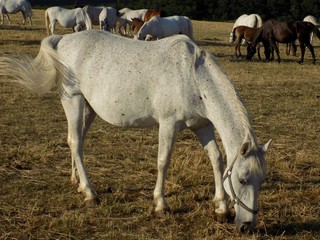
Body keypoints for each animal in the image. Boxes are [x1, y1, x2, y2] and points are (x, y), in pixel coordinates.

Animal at [0, 29, 272, 232]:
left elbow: (216, 160)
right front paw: (161, 205)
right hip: (73, 101)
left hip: (88, 107)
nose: (247, 226)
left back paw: (77, 181)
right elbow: (163, 161)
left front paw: (221, 208)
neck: (192, 77)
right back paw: (90, 193)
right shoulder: (169, 124)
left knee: (76, 141)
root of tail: (63, 39)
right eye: (242, 180)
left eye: (261, 181)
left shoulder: (202, 125)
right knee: (75, 142)